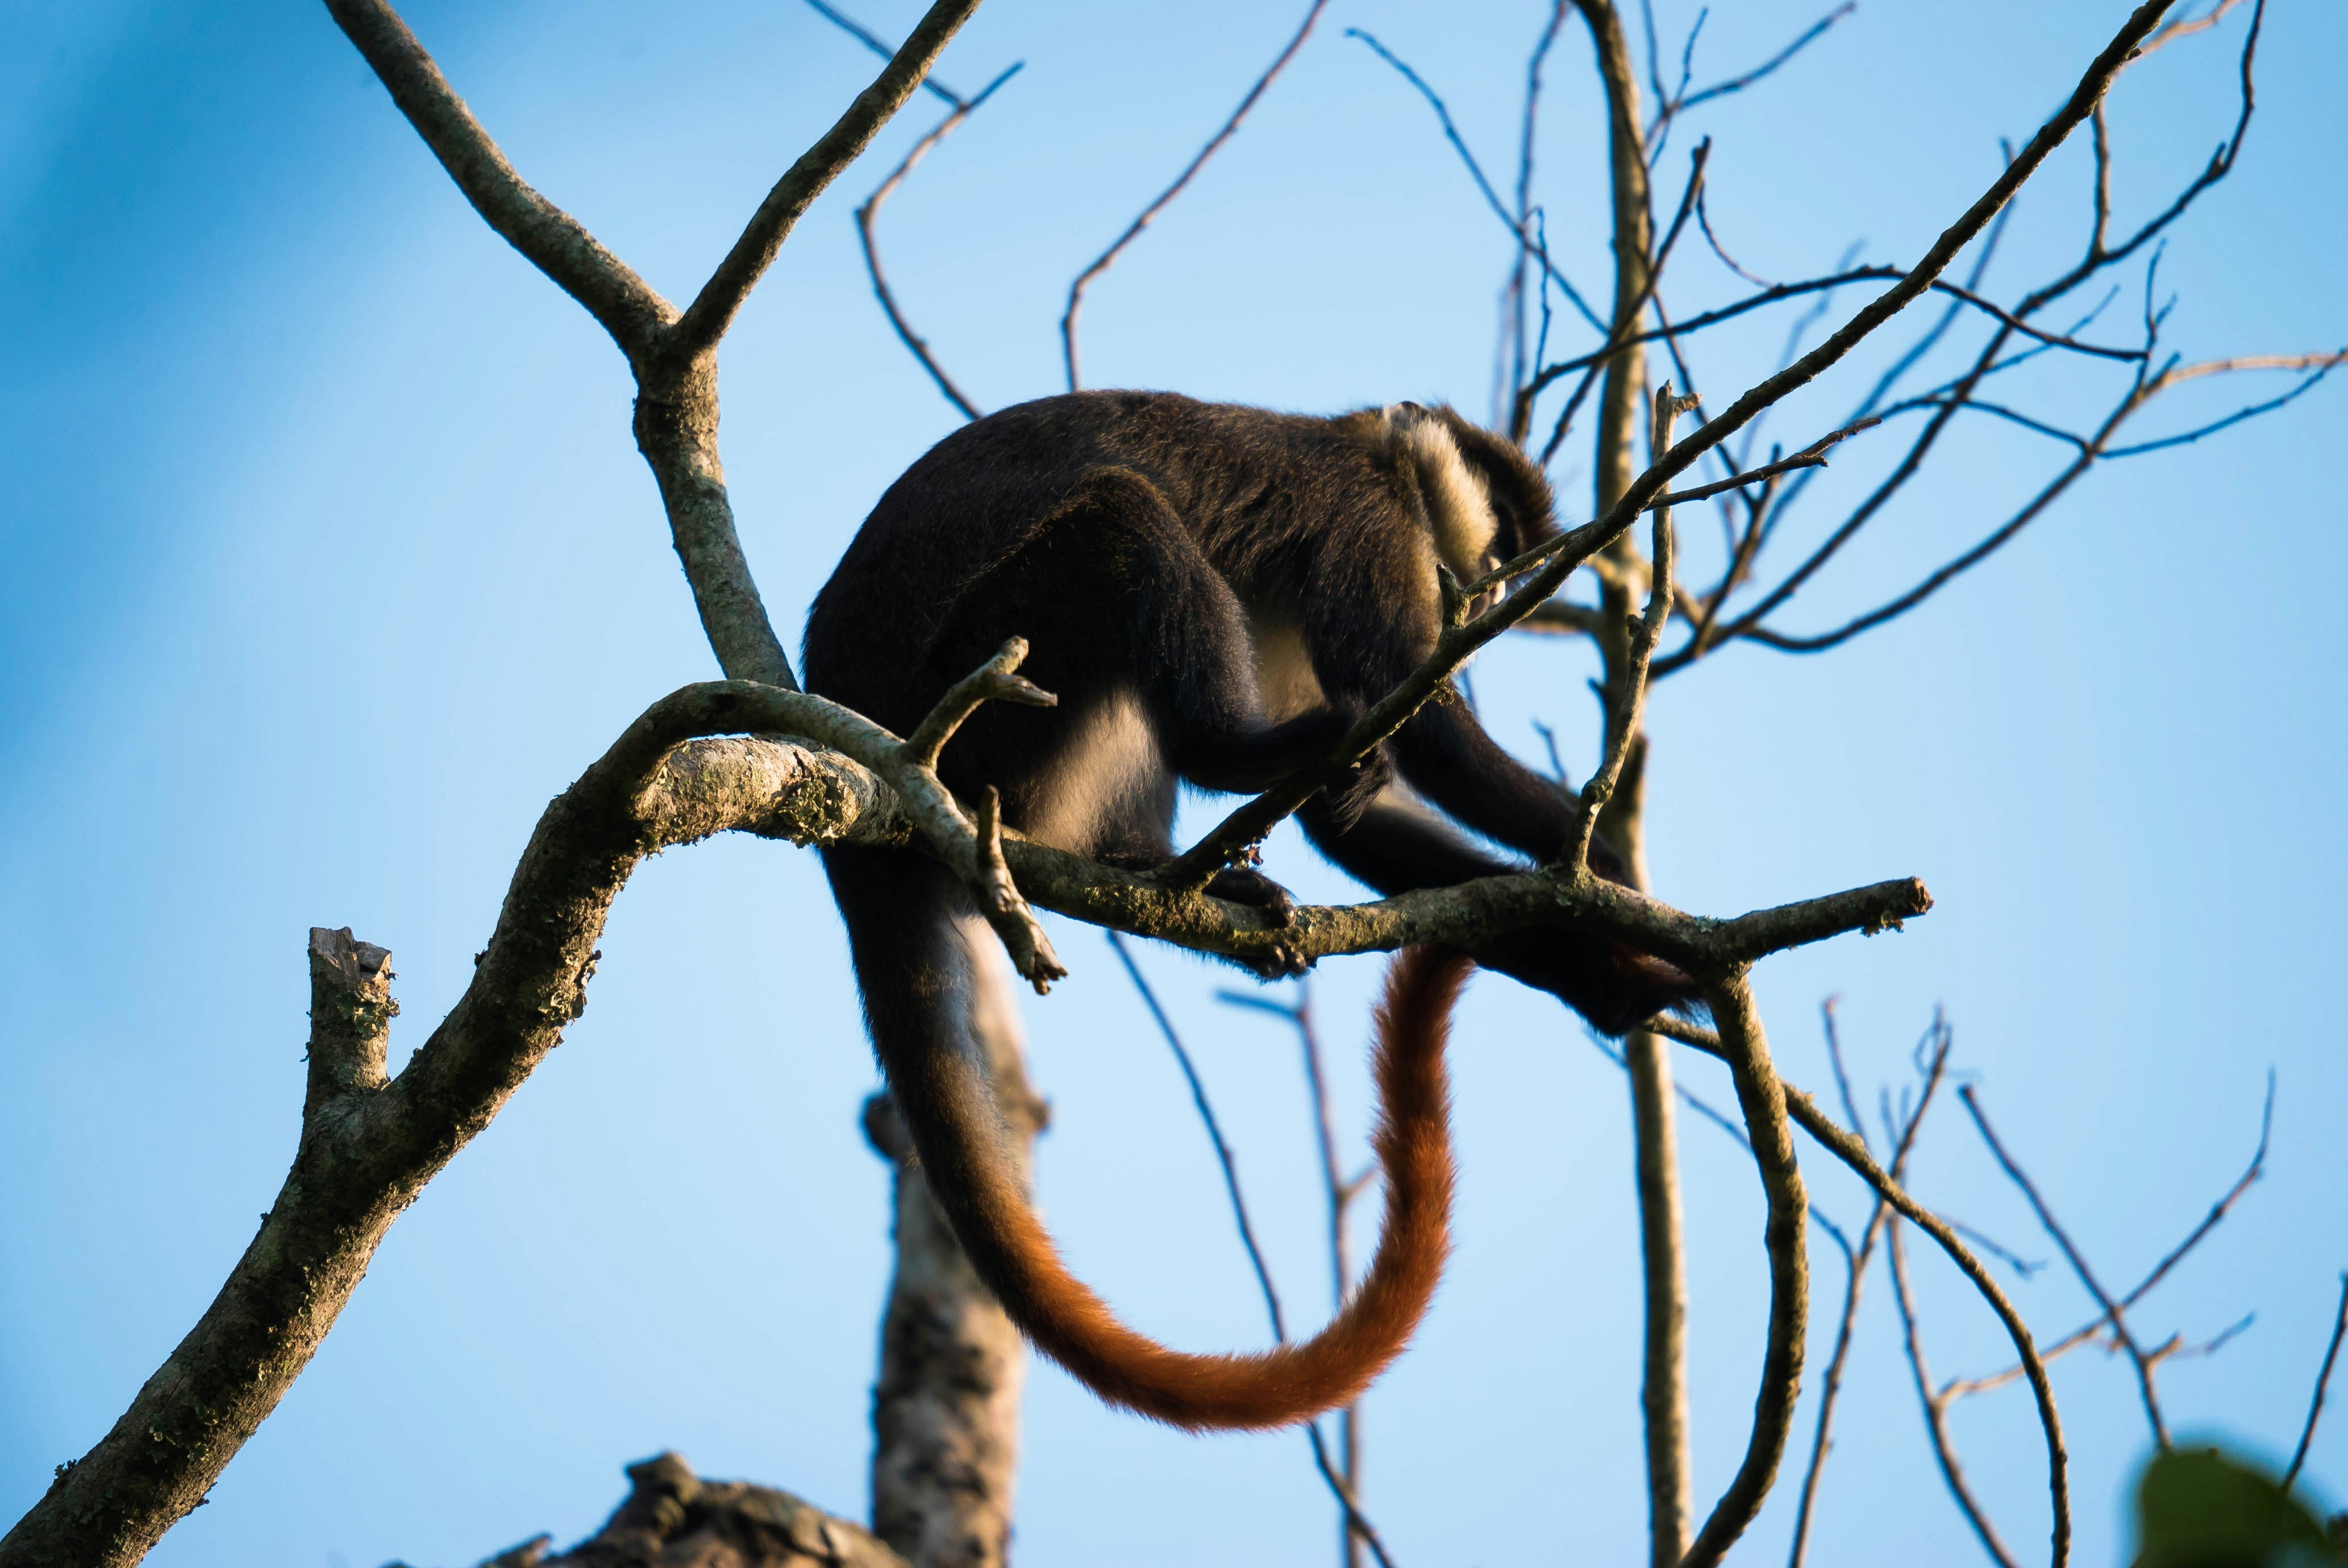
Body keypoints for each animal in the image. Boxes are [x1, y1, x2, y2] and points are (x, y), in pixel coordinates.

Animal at [804, 390, 1696, 1428]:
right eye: (1500, 546)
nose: (1477, 598)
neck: (1373, 448)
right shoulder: (1368, 520)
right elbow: (1422, 723)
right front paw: (1610, 865)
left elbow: (1354, 817)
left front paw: (1610, 974)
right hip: (986, 703)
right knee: (1124, 517)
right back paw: (1227, 755)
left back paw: (1150, 865)